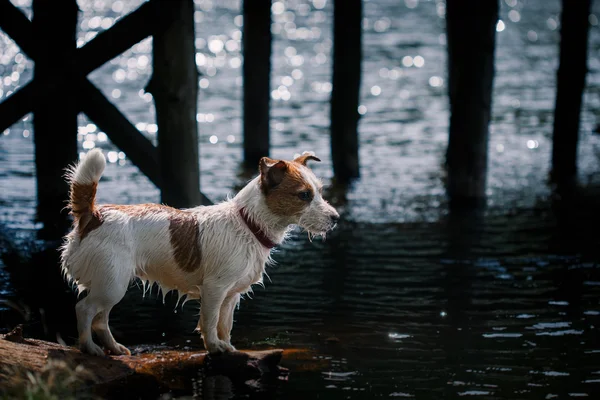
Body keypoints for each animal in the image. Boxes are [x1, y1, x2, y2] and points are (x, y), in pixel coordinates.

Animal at [59, 148, 340, 354]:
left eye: (320, 192)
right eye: (304, 195)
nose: (336, 218)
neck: (247, 224)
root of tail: (93, 216)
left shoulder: (231, 295)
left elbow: (225, 324)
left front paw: (227, 346)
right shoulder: (214, 290)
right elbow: (210, 321)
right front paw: (214, 347)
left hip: (109, 283)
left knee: (100, 319)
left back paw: (114, 348)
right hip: (111, 285)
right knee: (85, 310)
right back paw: (90, 348)